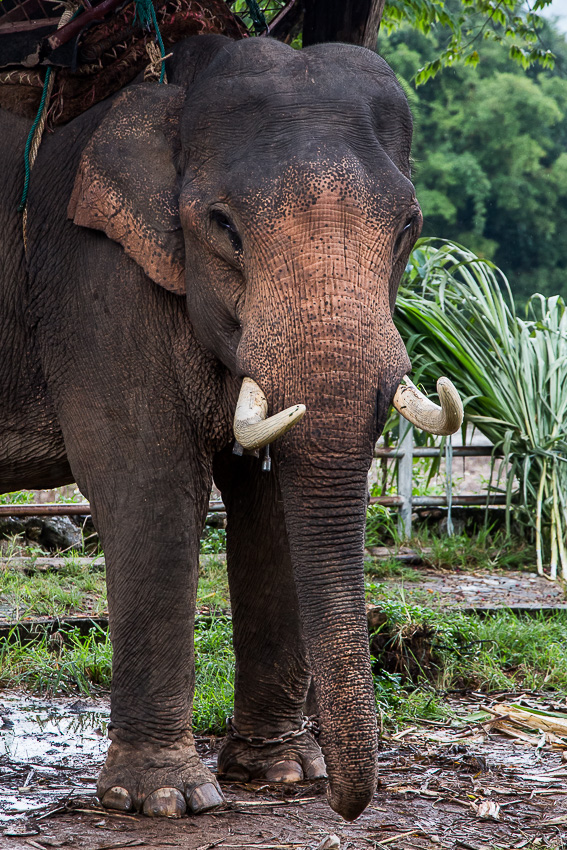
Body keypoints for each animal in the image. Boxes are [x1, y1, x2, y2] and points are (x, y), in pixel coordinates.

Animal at [0, 34, 462, 822]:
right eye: (224, 228)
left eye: (409, 227)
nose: (347, 807)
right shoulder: (95, 284)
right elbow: (149, 486)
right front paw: (163, 799)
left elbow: (269, 505)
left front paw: (283, 775)